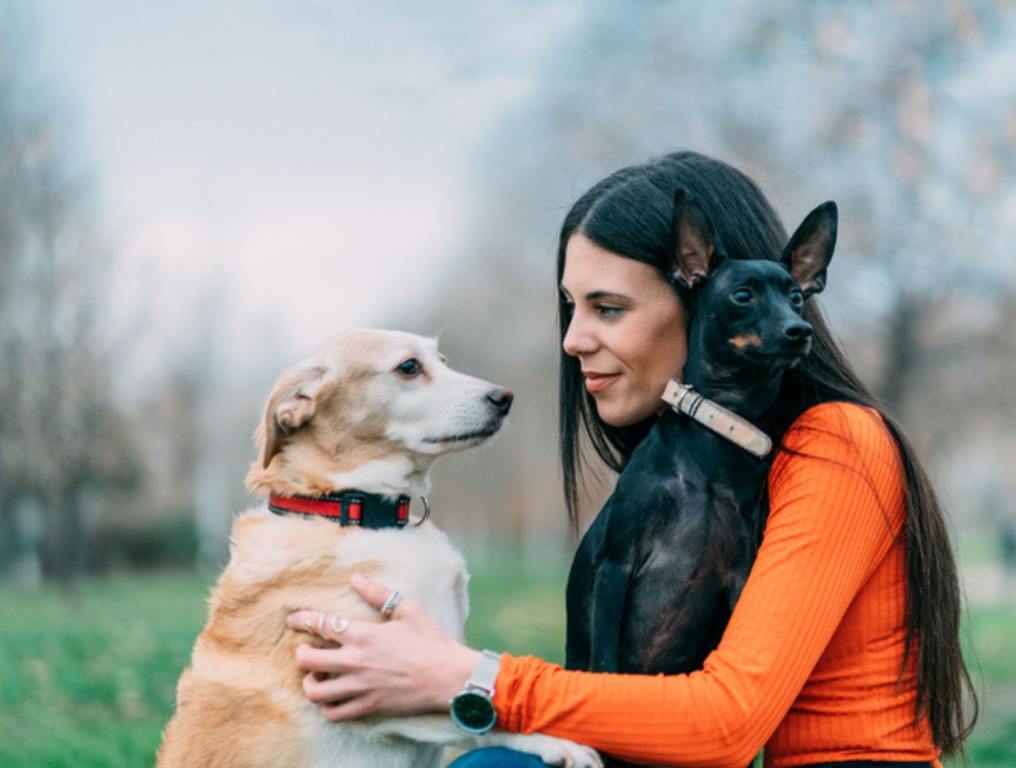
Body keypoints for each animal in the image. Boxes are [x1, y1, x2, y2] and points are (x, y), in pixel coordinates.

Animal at [156, 329, 601, 768]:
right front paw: (554, 741)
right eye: (409, 366)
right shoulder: (361, 693)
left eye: (442, 360)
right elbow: (474, 716)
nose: (504, 398)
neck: (354, 510)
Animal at [564, 192, 833, 763]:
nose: (799, 331)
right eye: (742, 295)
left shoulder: (738, 581)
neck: (718, 432)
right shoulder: (616, 565)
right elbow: (605, 668)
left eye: (797, 298)